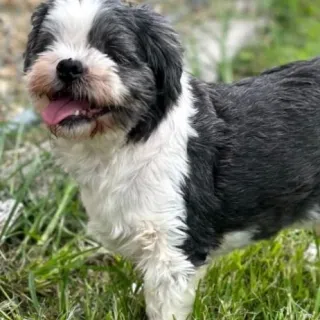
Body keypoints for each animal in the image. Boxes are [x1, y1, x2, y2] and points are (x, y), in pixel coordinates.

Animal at [23, 0, 320, 320]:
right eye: (48, 45)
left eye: (115, 52)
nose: (68, 65)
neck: (124, 143)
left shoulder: (173, 246)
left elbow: (164, 301)